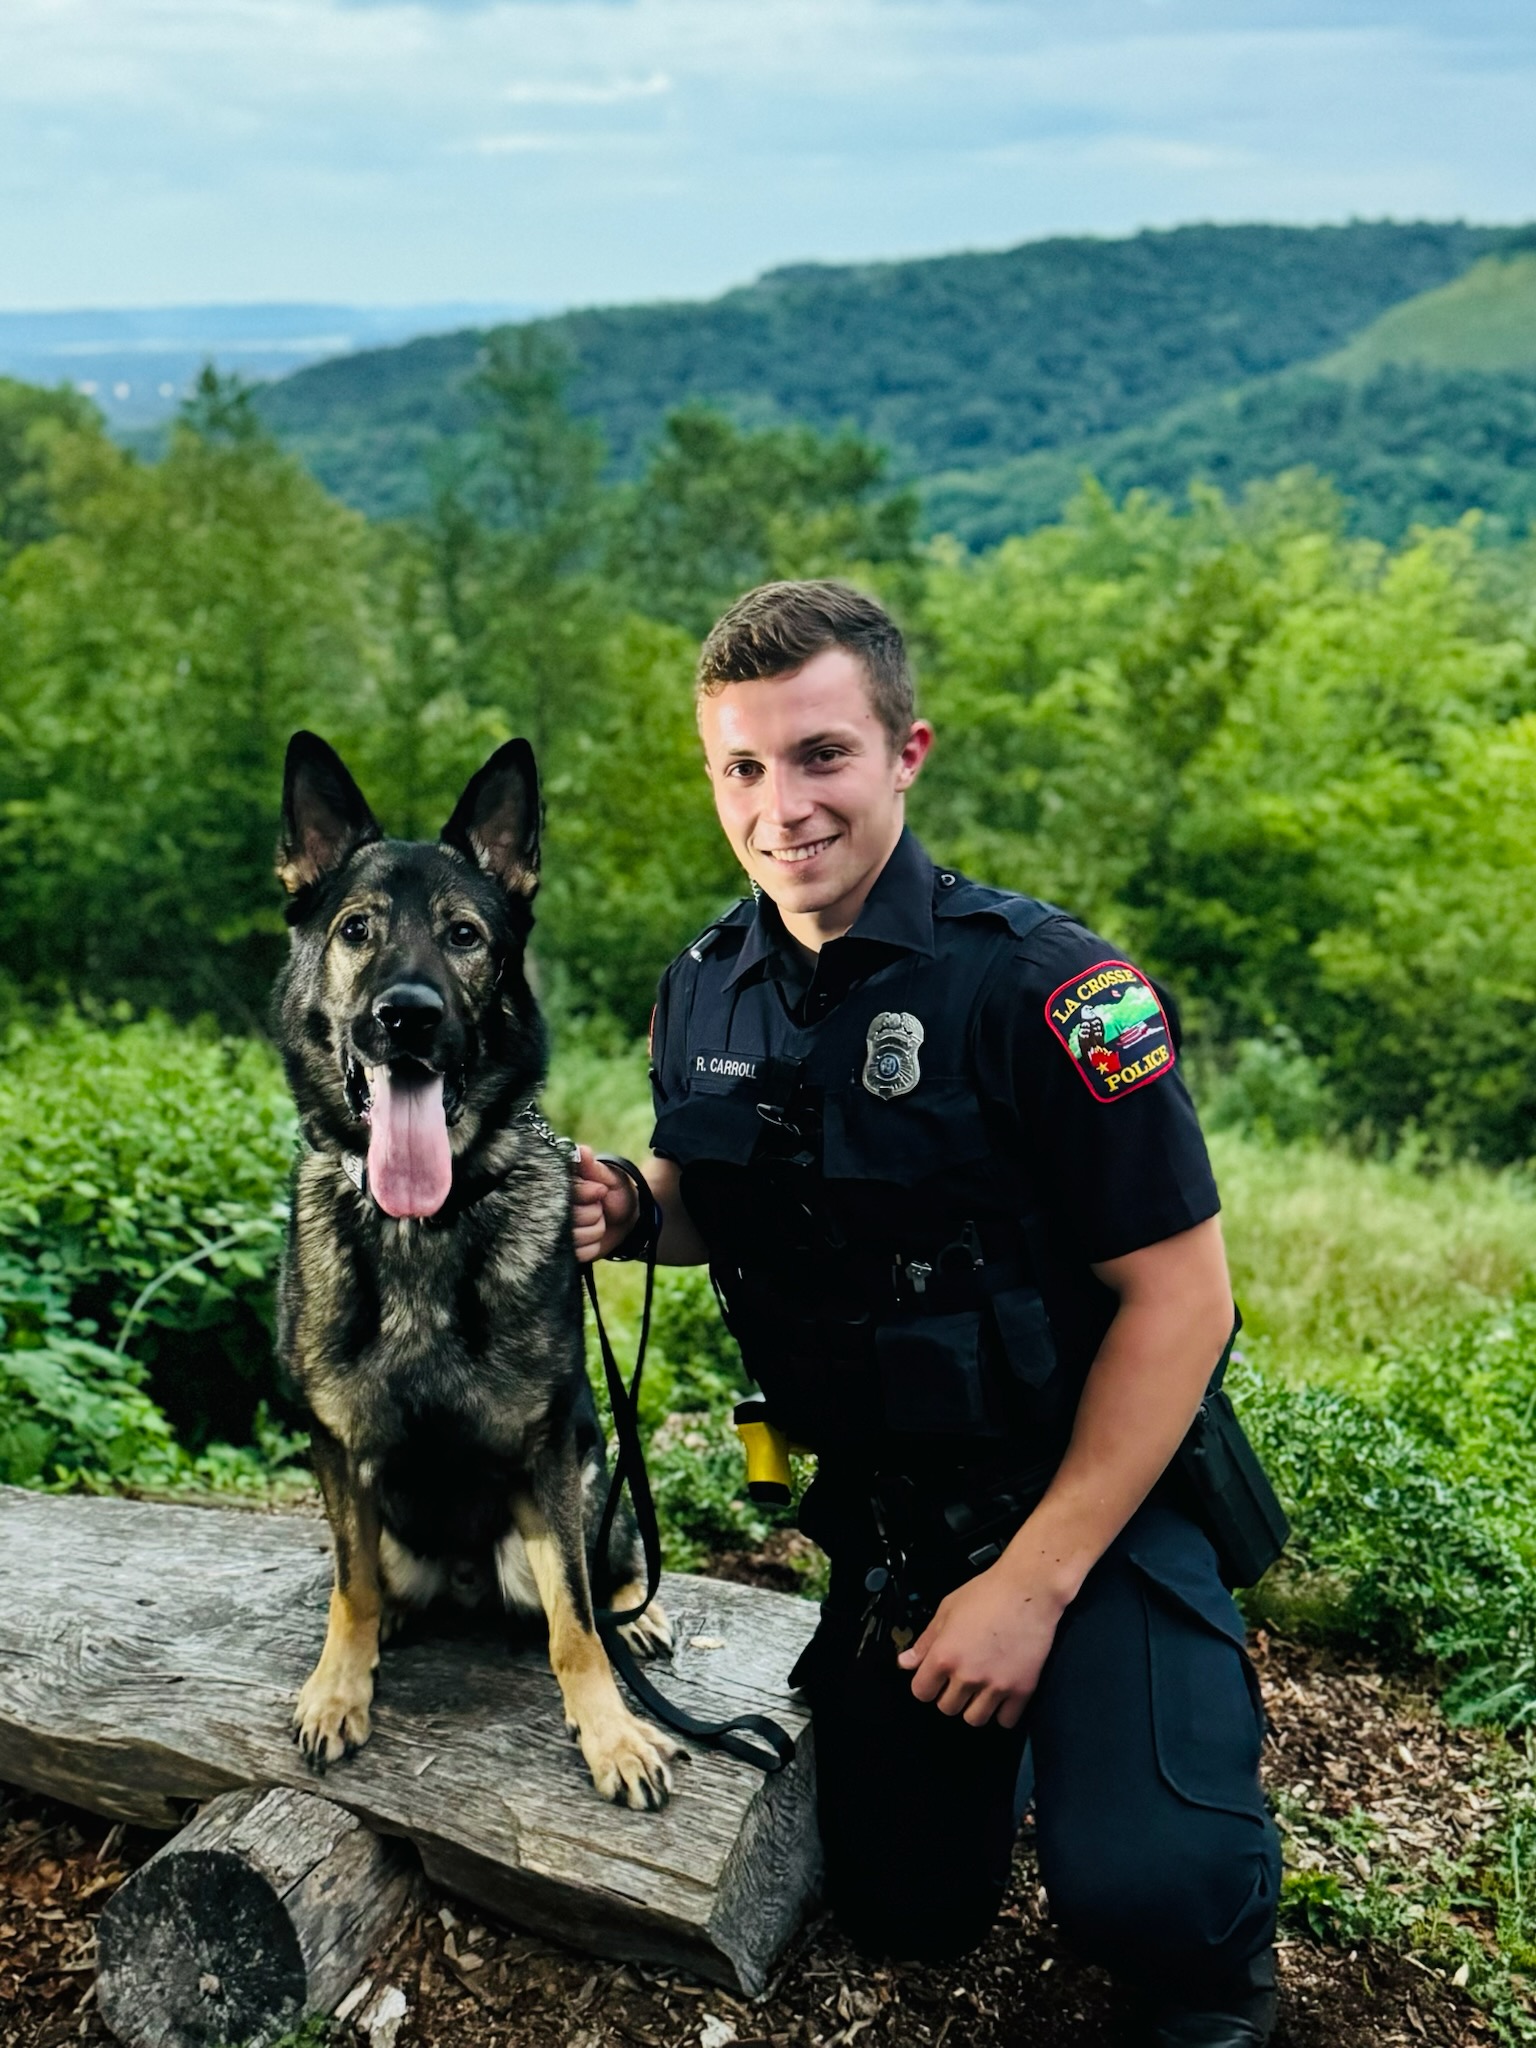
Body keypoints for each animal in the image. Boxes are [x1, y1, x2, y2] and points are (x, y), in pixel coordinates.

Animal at [274, 733, 679, 1810]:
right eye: (357, 929)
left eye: (464, 934)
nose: (406, 1017)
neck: (425, 1224)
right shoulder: (339, 1448)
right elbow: (349, 1586)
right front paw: (340, 1684)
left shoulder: (547, 1452)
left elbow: (575, 1625)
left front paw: (611, 1732)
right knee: (377, 1576)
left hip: (588, 1475)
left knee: (603, 1572)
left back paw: (641, 1612)